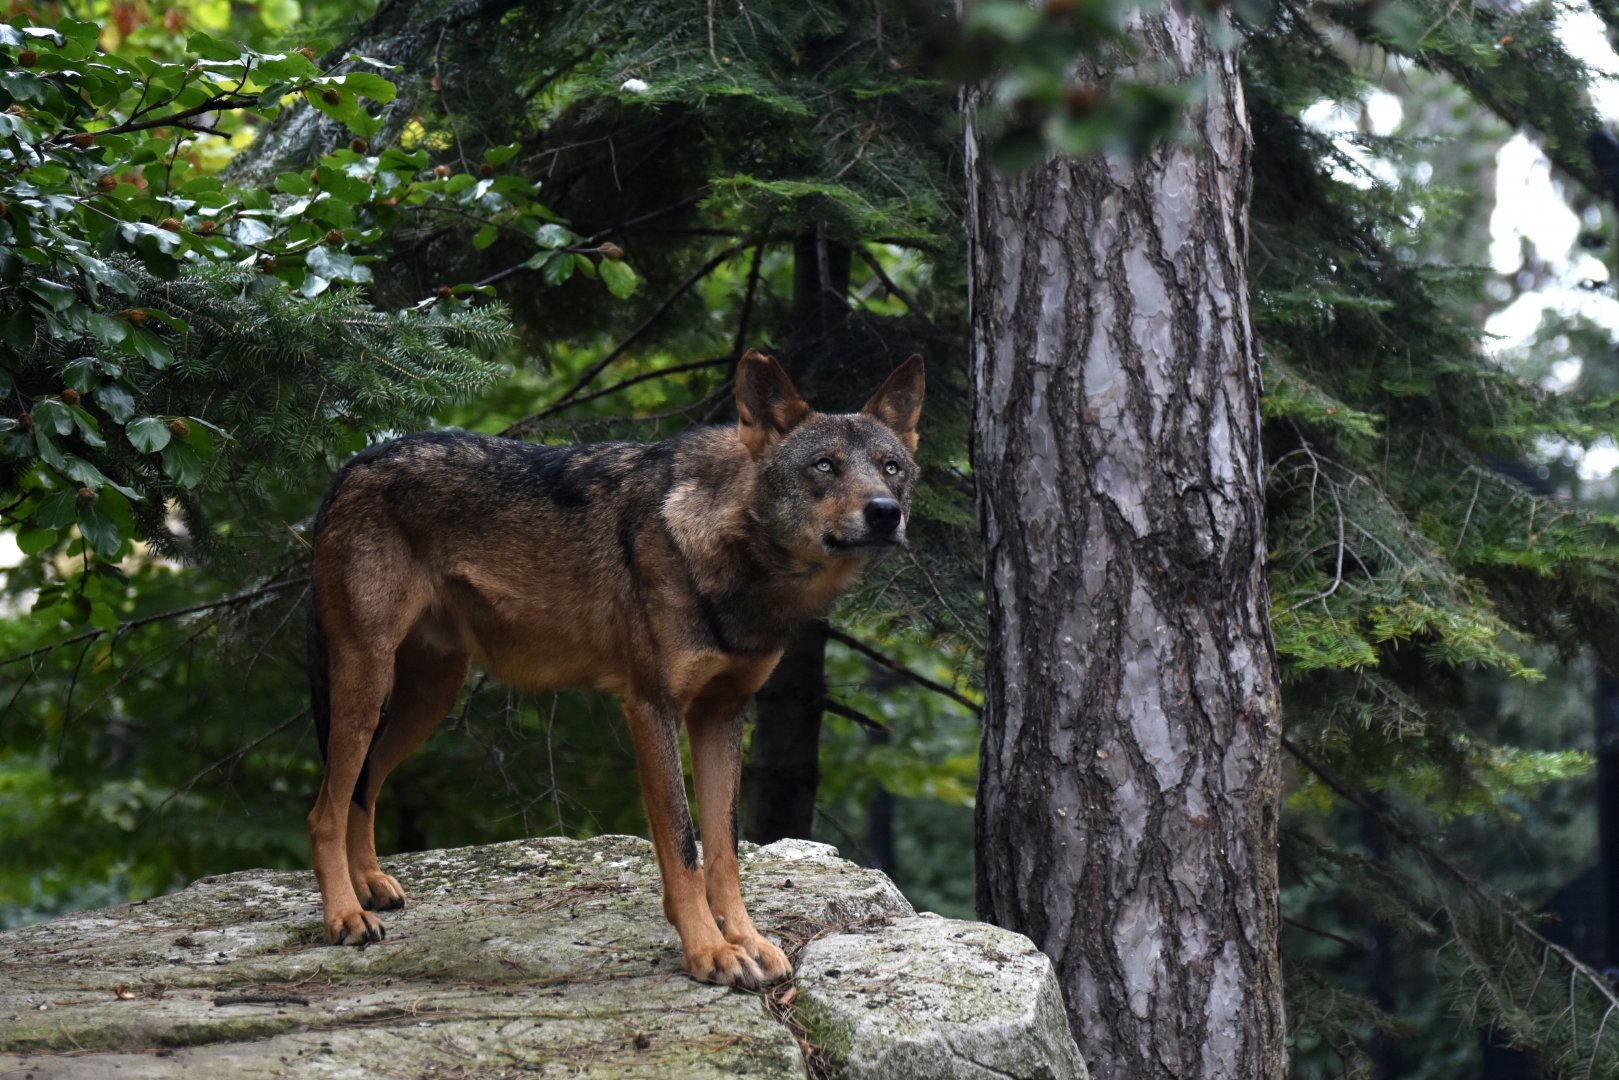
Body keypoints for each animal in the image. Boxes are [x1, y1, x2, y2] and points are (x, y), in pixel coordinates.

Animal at [305, 351, 923, 988]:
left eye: (892, 468)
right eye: (824, 466)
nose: (885, 513)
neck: (727, 554)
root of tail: (353, 465)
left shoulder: (722, 715)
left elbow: (724, 852)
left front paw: (747, 941)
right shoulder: (652, 709)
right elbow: (683, 847)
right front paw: (709, 952)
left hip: (426, 700)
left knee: (363, 786)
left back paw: (369, 885)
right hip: (366, 686)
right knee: (324, 808)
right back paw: (345, 915)